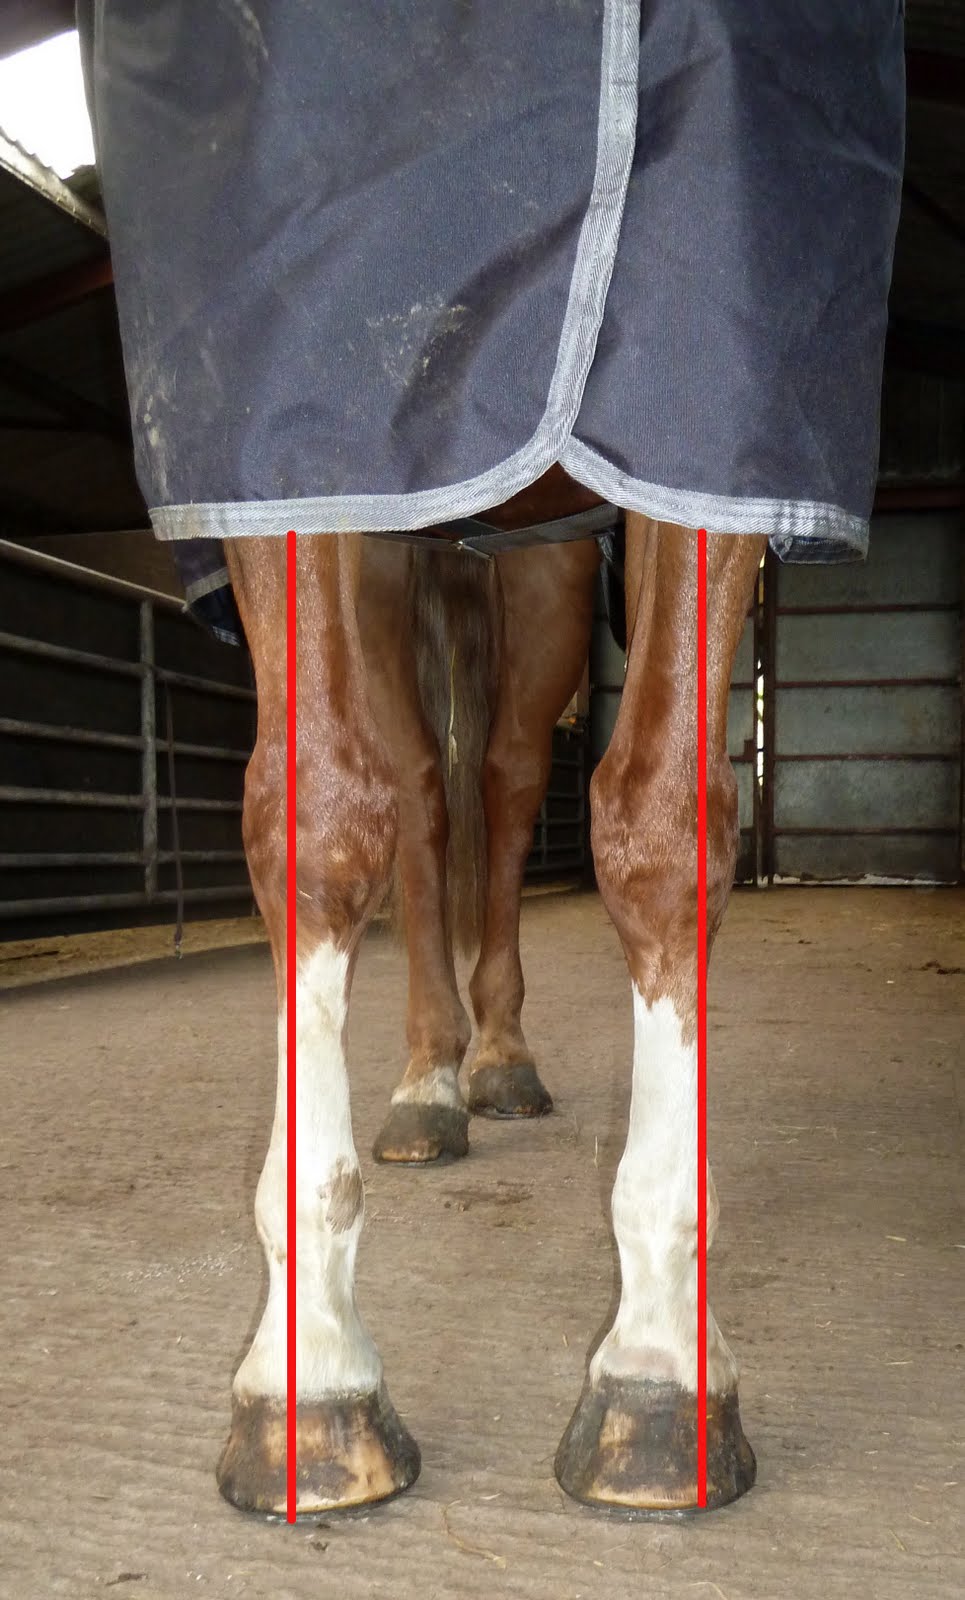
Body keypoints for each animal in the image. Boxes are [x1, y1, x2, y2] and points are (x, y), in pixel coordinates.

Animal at [216, 469, 764, 1516]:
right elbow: (315, 820)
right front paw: (311, 1380)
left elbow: (663, 817)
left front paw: (659, 1366)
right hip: (391, 565)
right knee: (422, 788)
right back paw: (430, 1083)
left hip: (549, 577)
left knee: (507, 781)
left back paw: (501, 1058)